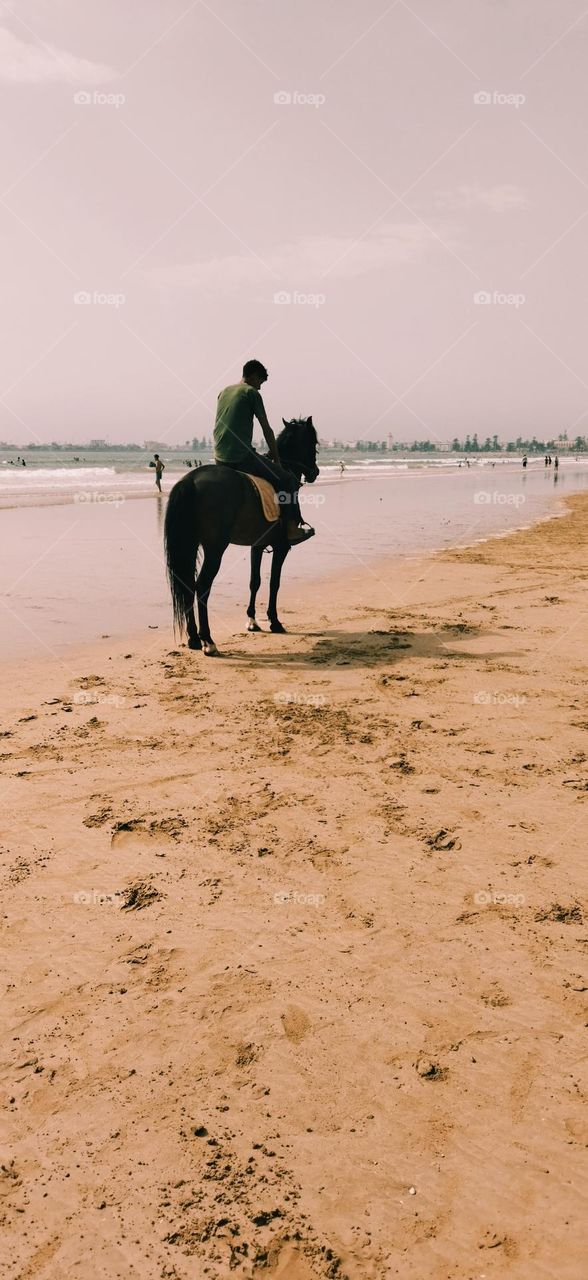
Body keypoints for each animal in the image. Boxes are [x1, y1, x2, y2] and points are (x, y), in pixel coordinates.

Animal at [163, 417, 320, 655]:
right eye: (313, 443)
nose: (315, 472)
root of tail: (190, 480)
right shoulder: (281, 547)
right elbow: (274, 582)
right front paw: (274, 621)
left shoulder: (257, 545)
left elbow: (254, 581)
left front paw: (252, 621)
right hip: (215, 548)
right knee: (202, 586)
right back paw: (208, 640)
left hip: (190, 544)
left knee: (188, 584)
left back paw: (193, 638)